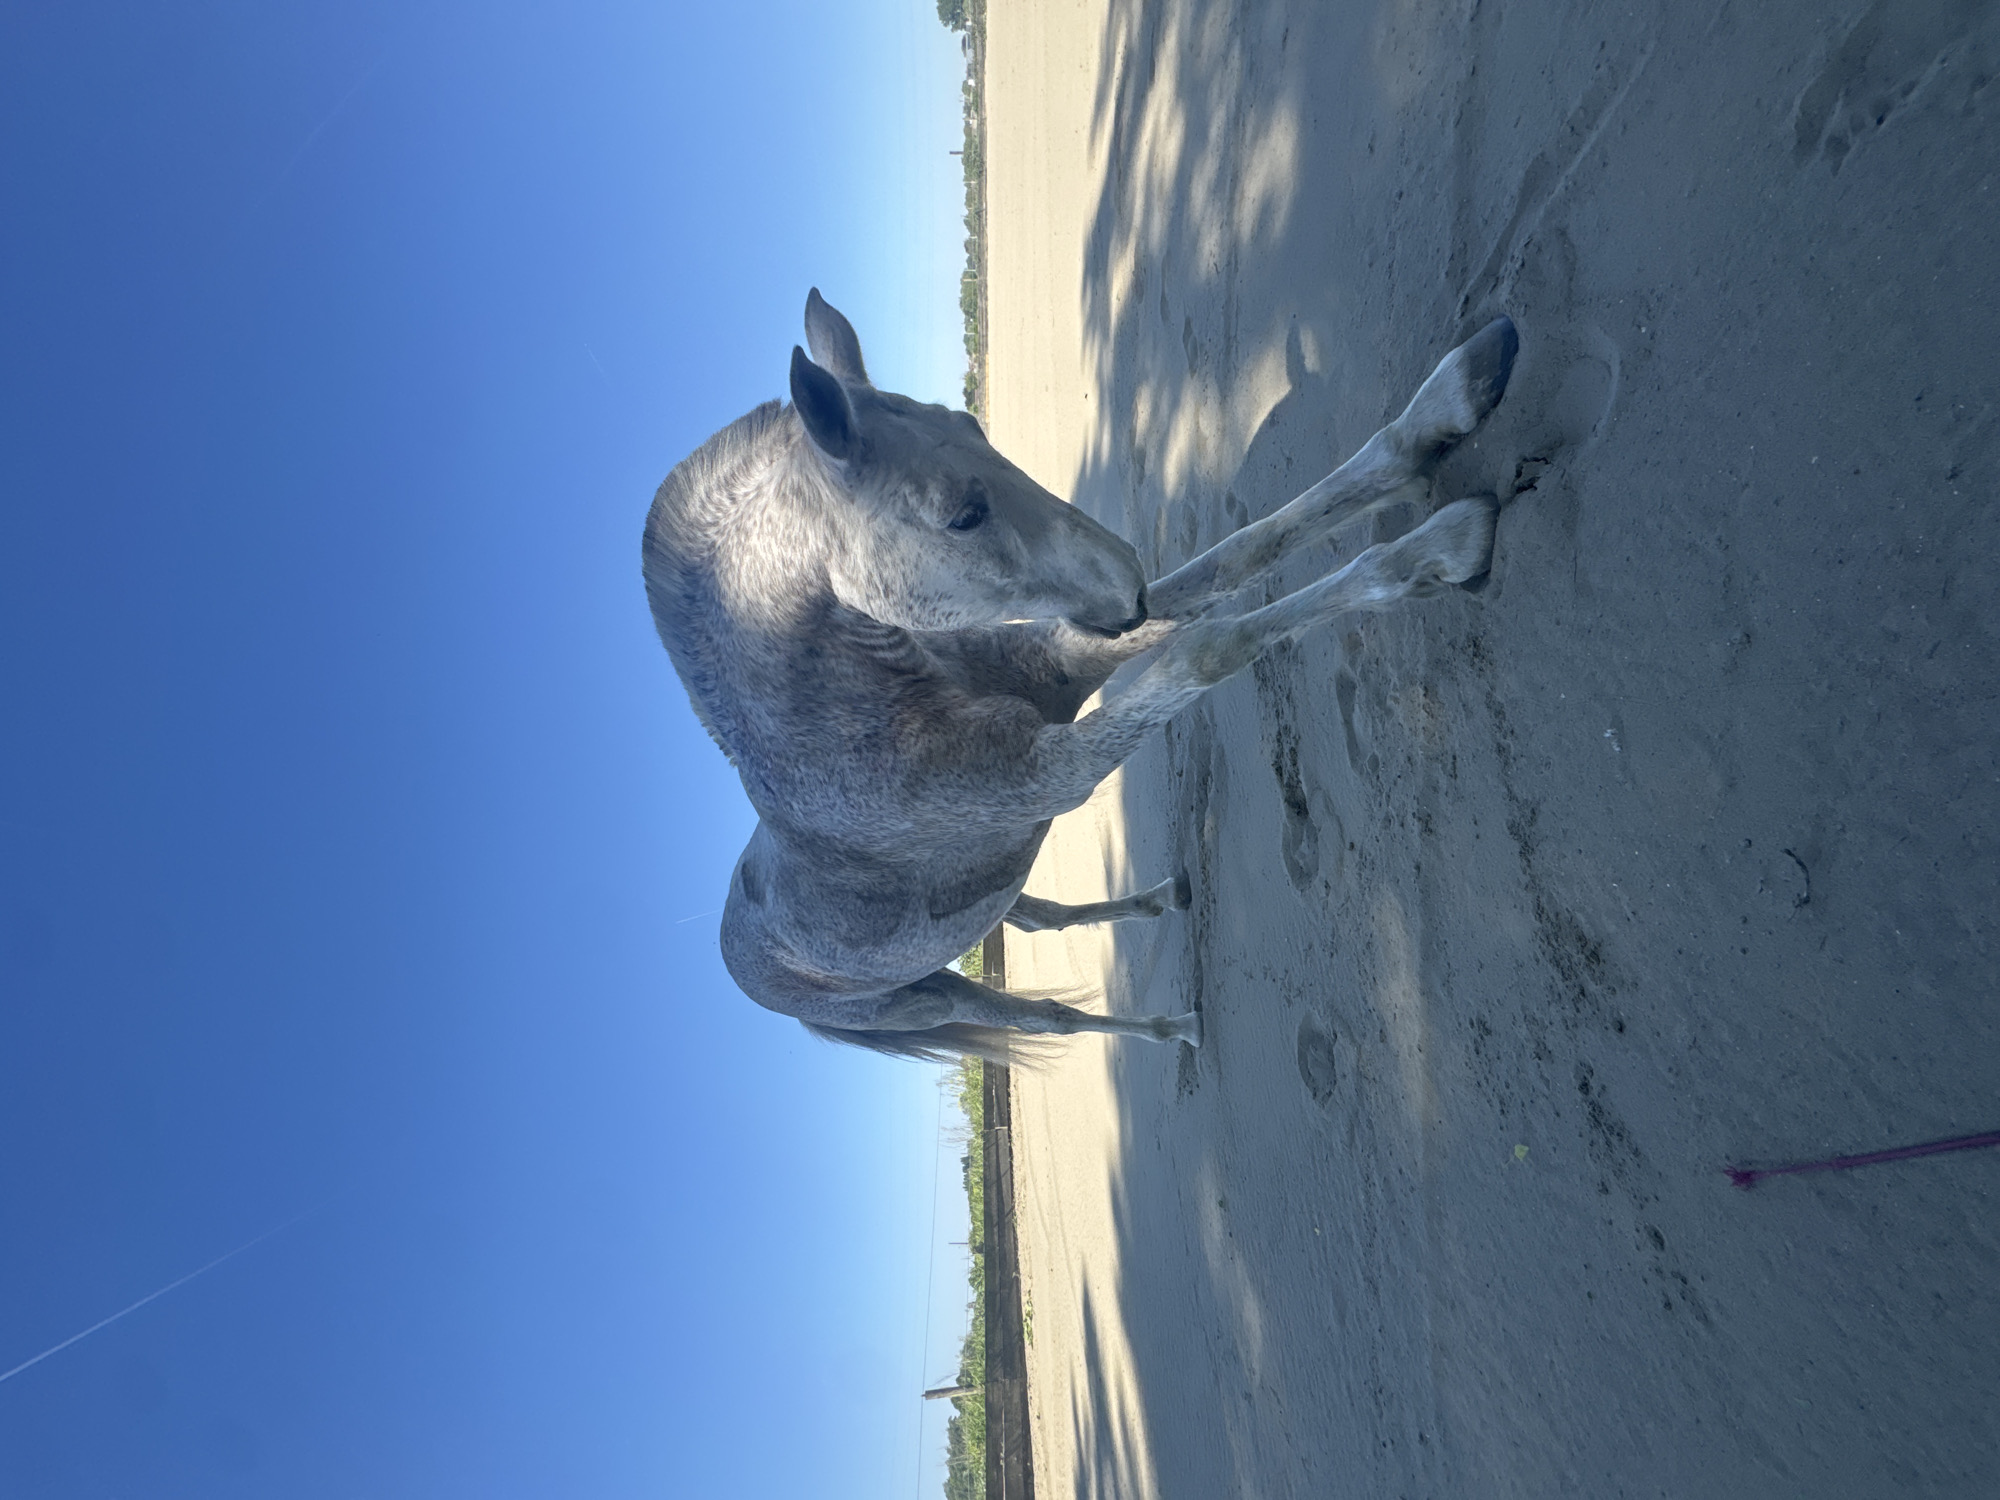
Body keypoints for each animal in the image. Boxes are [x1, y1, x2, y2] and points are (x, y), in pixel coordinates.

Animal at [643, 290, 1517, 1061]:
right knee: (1048, 1020)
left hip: (994, 912)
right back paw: (1172, 1030)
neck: (871, 727)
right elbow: (1209, 647)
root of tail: (742, 964)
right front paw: (1437, 548)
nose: (1128, 588)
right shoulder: (1056, 769)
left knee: (1040, 919)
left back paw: (1163, 898)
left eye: (969, 424)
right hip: (928, 997)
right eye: (962, 513)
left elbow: (1240, 554)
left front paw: (1443, 409)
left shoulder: (1075, 654)